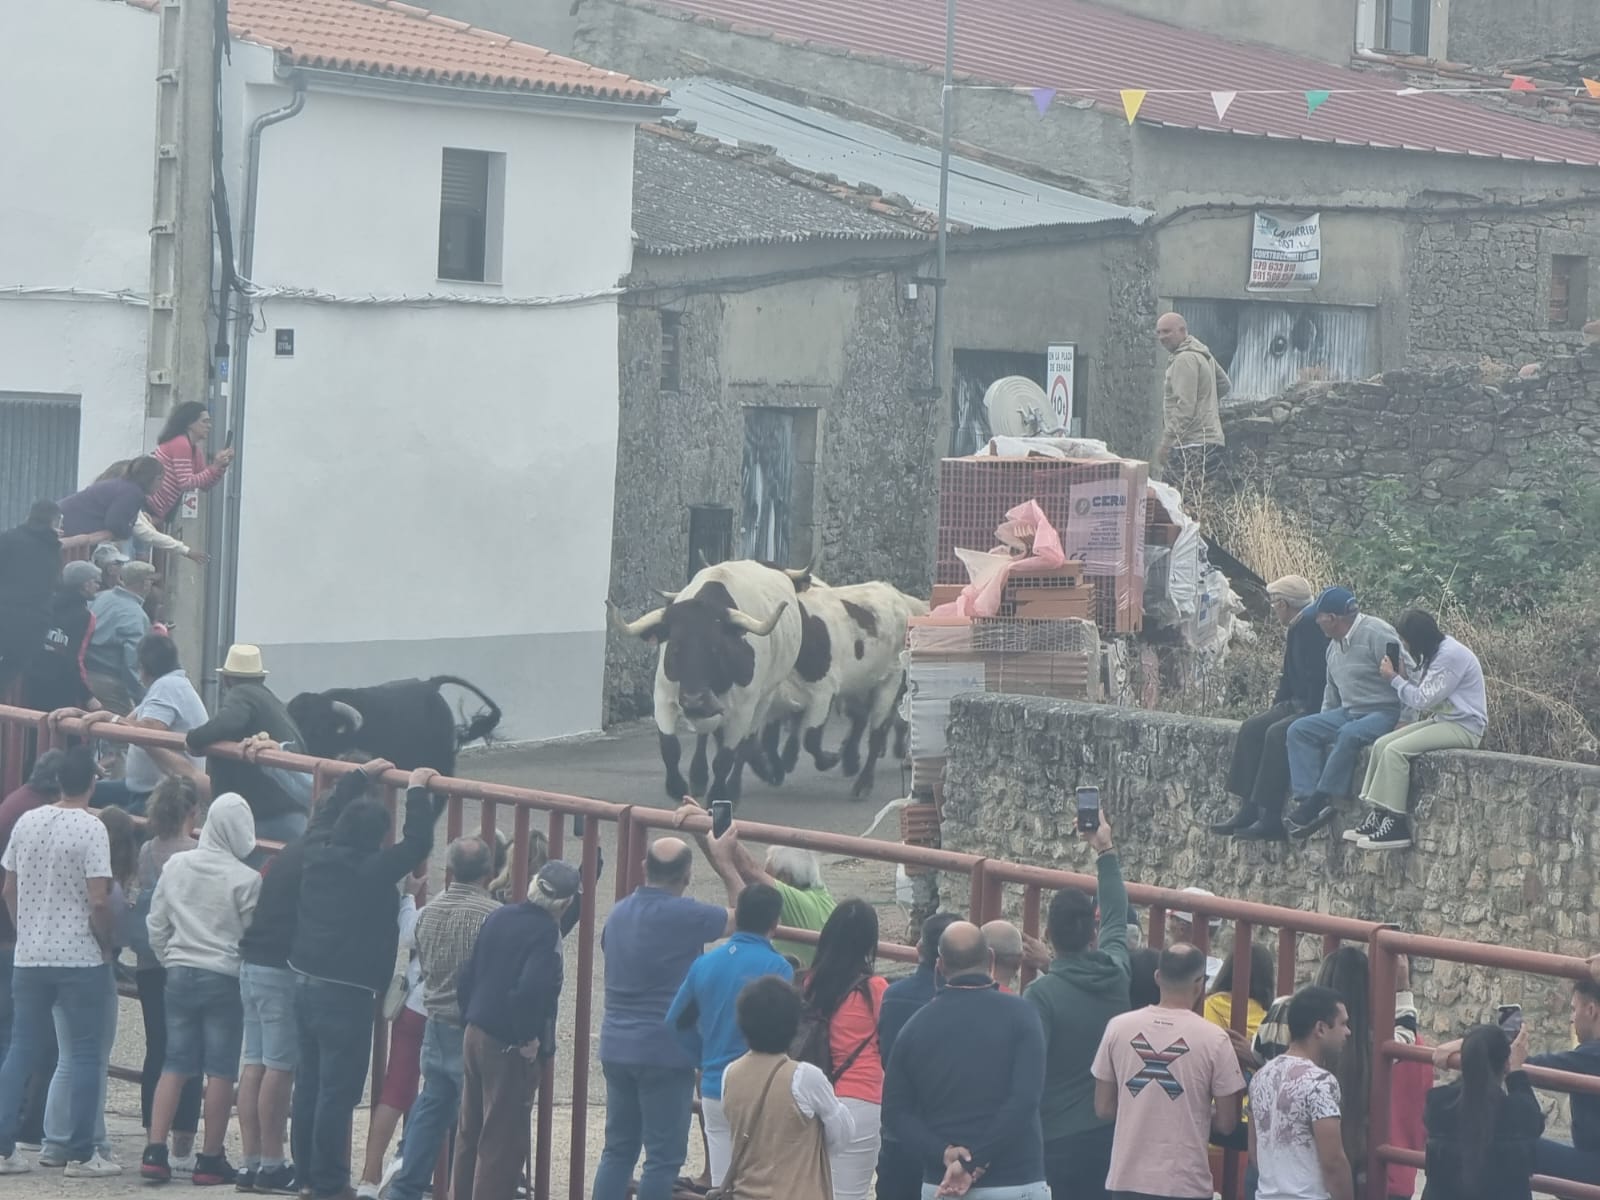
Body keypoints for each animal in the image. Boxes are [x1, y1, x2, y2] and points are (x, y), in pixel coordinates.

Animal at [608, 563, 800, 809]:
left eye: (716, 649)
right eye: (675, 649)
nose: (694, 699)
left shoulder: (743, 710)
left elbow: (726, 758)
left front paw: (719, 794)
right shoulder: (663, 697)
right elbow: (670, 747)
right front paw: (677, 787)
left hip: (764, 698)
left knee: (744, 746)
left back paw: (734, 789)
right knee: (704, 735)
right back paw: (698, 777)